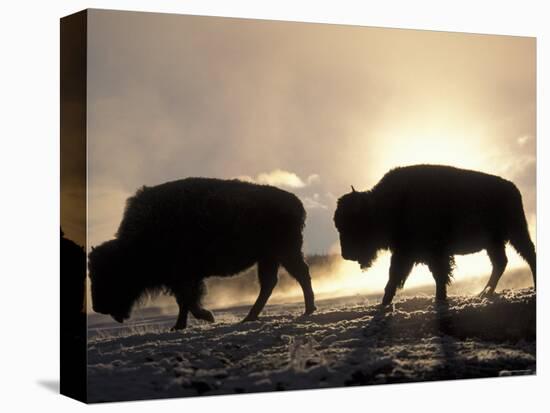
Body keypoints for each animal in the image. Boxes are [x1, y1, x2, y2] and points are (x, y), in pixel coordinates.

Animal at [88, 176, 316, 328]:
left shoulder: (184, 277)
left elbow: (188, 300)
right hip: (270, 258)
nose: (98, 307)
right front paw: (181, 325)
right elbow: (184, 301)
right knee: (271, 283)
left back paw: (307, 310)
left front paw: (205, 317)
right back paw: (250, 317)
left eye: (111, 274)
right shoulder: (181, 279)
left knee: (300, 276)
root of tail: (296, 202)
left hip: (285, 253)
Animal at [334, 163, 536, 304]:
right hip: (494, 242)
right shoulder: (405, 253)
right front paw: (384, 303)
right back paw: (484, 293)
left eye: (355, 224)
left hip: (516, 233)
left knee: (528, 255)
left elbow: (438, 275)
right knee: (501, 262)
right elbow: (395, 276)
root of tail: (512, 188)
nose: (346, 255)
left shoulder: (433, 253)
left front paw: (439, 299)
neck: (388, 204)